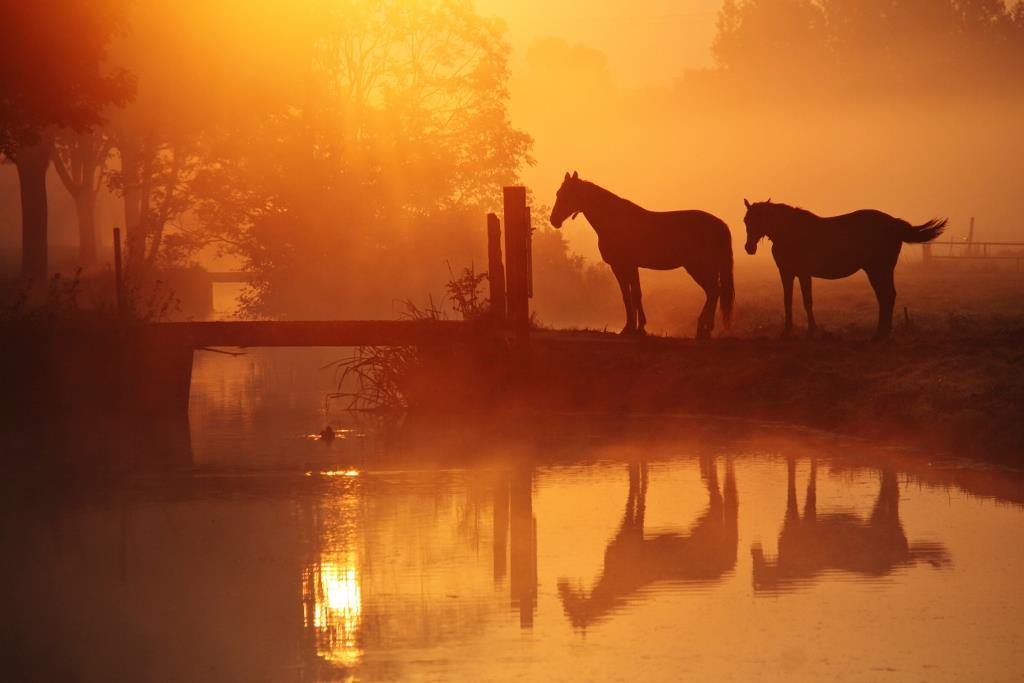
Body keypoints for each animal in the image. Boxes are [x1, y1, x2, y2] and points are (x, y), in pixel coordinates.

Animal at [550, 172, 734, 339]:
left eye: (566, 195)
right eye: (558, 194)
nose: (554, 220)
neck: (615, 220)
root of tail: (720, 224)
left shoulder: (625, 265)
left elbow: (632, 295)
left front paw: (634, 328)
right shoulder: (625, 266)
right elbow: (632, 295)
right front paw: (635, 328)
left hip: (698, 267)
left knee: (713, 291)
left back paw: (703, 328)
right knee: (714, 292)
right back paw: (706, 329)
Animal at [742, 199, 947, 340]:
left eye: (759, 219)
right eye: (746, 220)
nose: (749, 248)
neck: (791, 233)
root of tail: (893, 223)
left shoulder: (803, 273)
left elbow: (807, 301)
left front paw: (811, 331)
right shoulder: (787, 273)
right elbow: (787, 301)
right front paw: (786, 331)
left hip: (878, 269)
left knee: (886, 296)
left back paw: (880, 334)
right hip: (880, 270)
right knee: (886, 296)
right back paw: (882, 333)